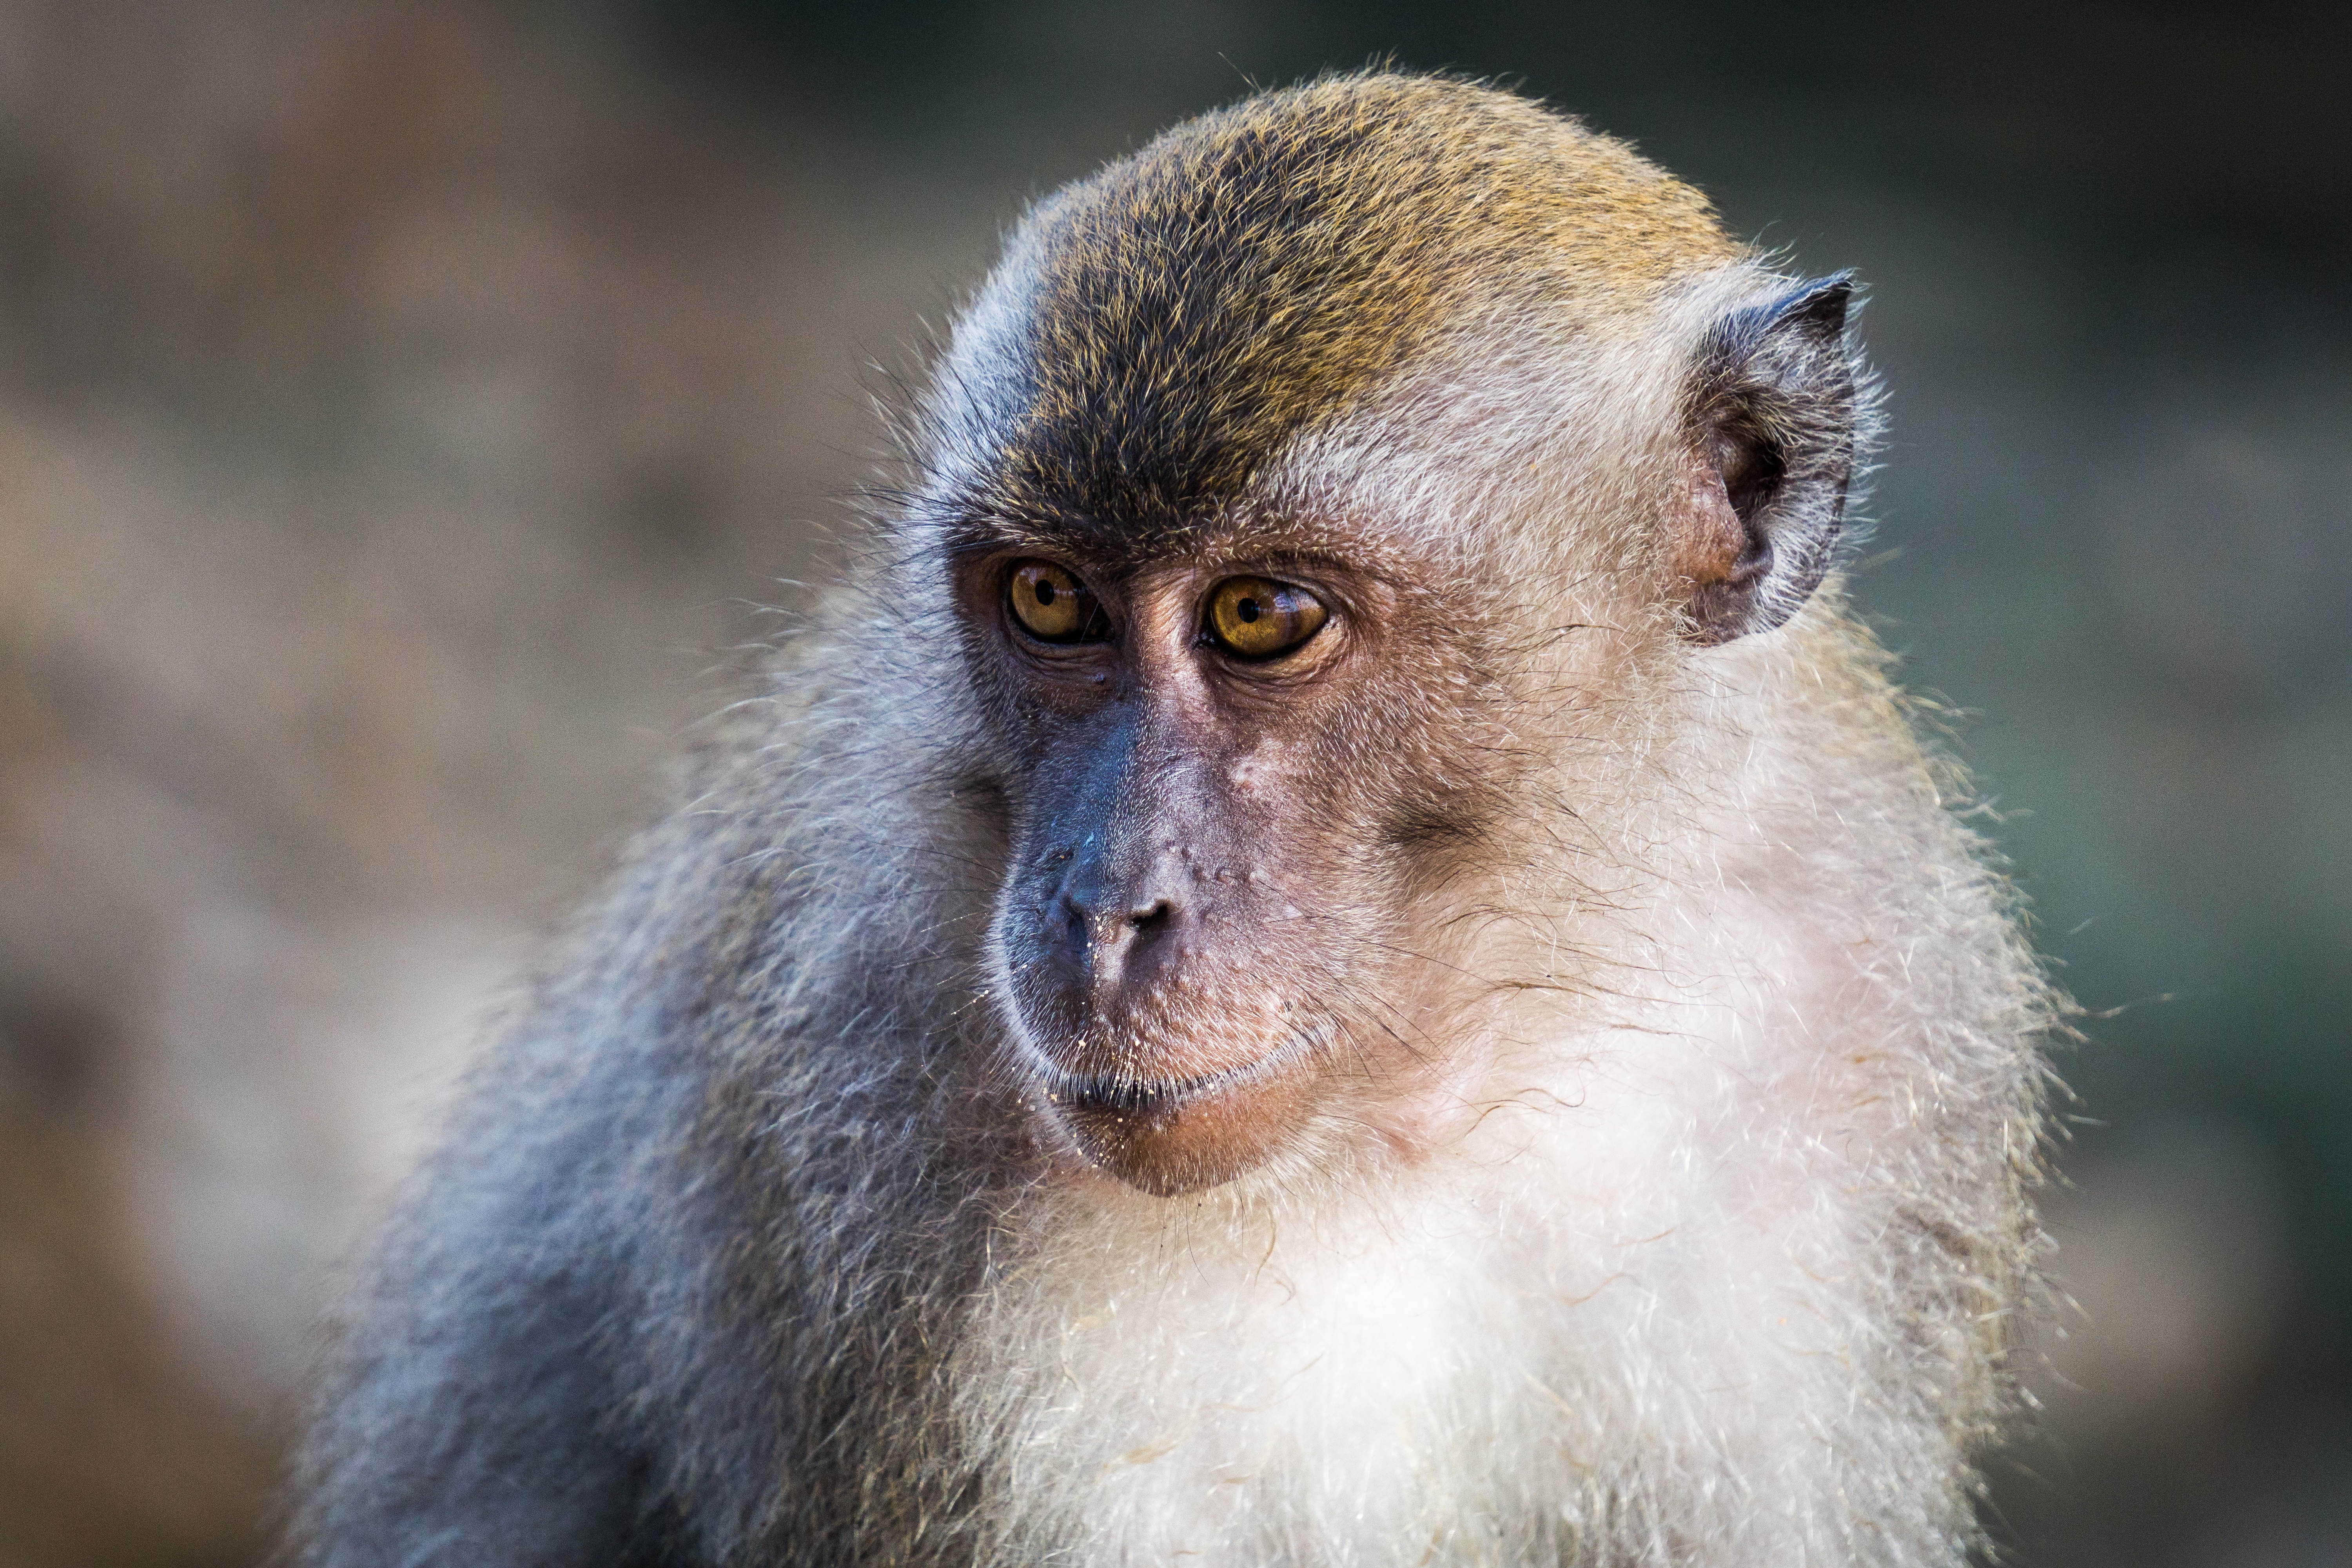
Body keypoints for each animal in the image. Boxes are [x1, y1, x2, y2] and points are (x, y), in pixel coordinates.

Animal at [299, 73, 2060, 1568]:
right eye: (1048, 600)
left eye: (1262, 617)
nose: (1103, 908)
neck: (1443, 1090)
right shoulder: (862, 1072)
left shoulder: (1867, 1037)